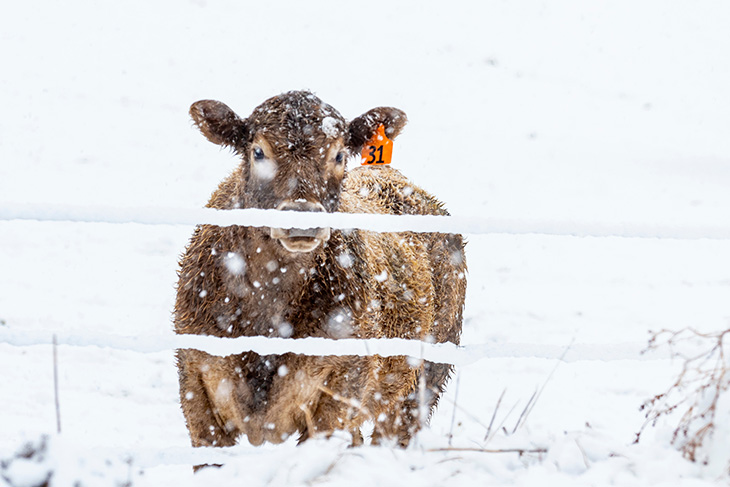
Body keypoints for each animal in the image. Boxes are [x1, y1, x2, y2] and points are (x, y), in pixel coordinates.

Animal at [173, 89, 464, 452]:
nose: (302, 217)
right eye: (258, 151)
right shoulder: (197, 393)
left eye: (339, 154)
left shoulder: (339, 393)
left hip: (421, 385)